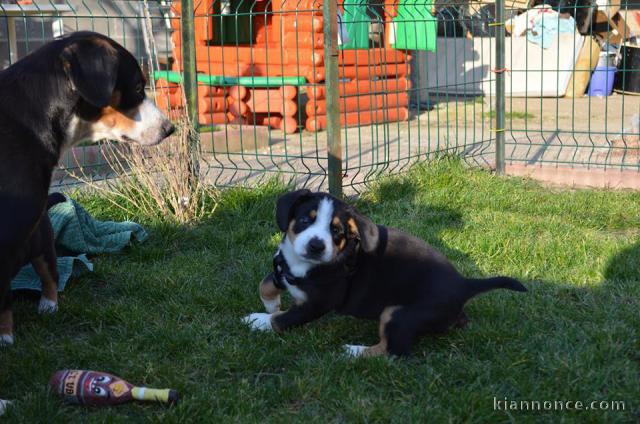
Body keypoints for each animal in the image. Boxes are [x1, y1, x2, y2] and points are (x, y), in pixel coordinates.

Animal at [242, 190, 528, 358]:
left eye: (337, 231)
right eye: (304, 220)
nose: (316, 245)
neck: (303, 264)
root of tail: (463, 283)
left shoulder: (318, 302)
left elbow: (284, 319)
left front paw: (260, 321)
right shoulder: (283, 269)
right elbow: (266, 283)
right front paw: (270, 304)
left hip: (397, 313)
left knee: (392, 351)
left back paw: (355, 351)